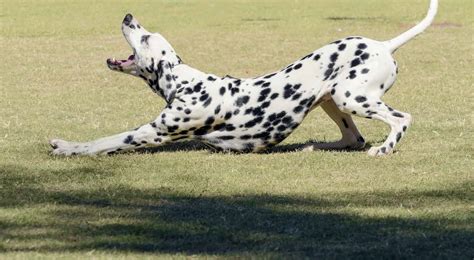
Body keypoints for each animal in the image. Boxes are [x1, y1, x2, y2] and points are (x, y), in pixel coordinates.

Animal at [50, 0, 438, 156]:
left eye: (145, 38)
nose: (129, 16)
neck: (188, 84)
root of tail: (384, 44)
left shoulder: (150, 133)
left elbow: (102, 142)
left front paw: (69, 148)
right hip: (332, 100)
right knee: (352, 138)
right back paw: (313, 146)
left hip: (350, 97)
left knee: (401, 119)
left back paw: (384, 148)